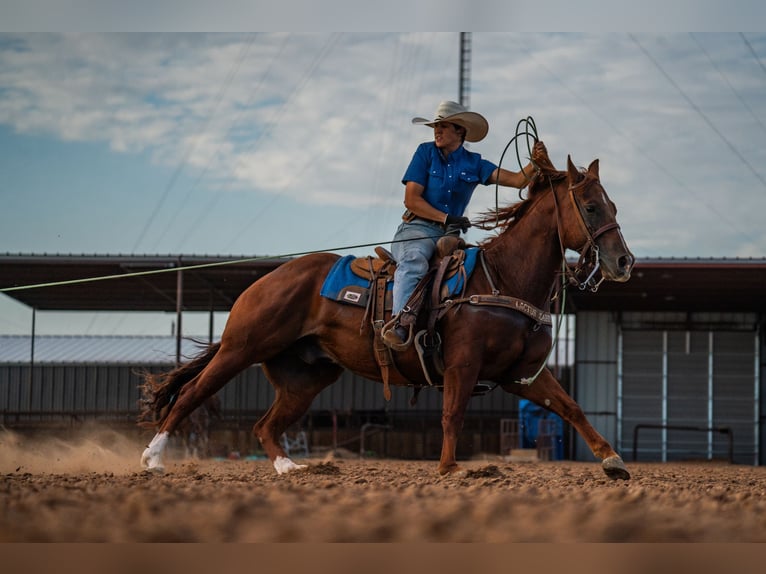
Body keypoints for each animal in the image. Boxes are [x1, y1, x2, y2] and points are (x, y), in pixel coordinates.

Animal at [139, 150, 635, 479]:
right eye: (590, 207)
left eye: (614, 206)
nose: (623, 262)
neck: (502, 279)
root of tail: (268, 280)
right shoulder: (463, 364)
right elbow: (452, 414)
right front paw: (450, 468)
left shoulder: (522, 373)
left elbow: (571, 407)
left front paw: (612, 461)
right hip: (241, 348)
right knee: (191, 395)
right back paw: (153, 458)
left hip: (306, 377)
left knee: (266, 425)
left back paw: (288, 467)